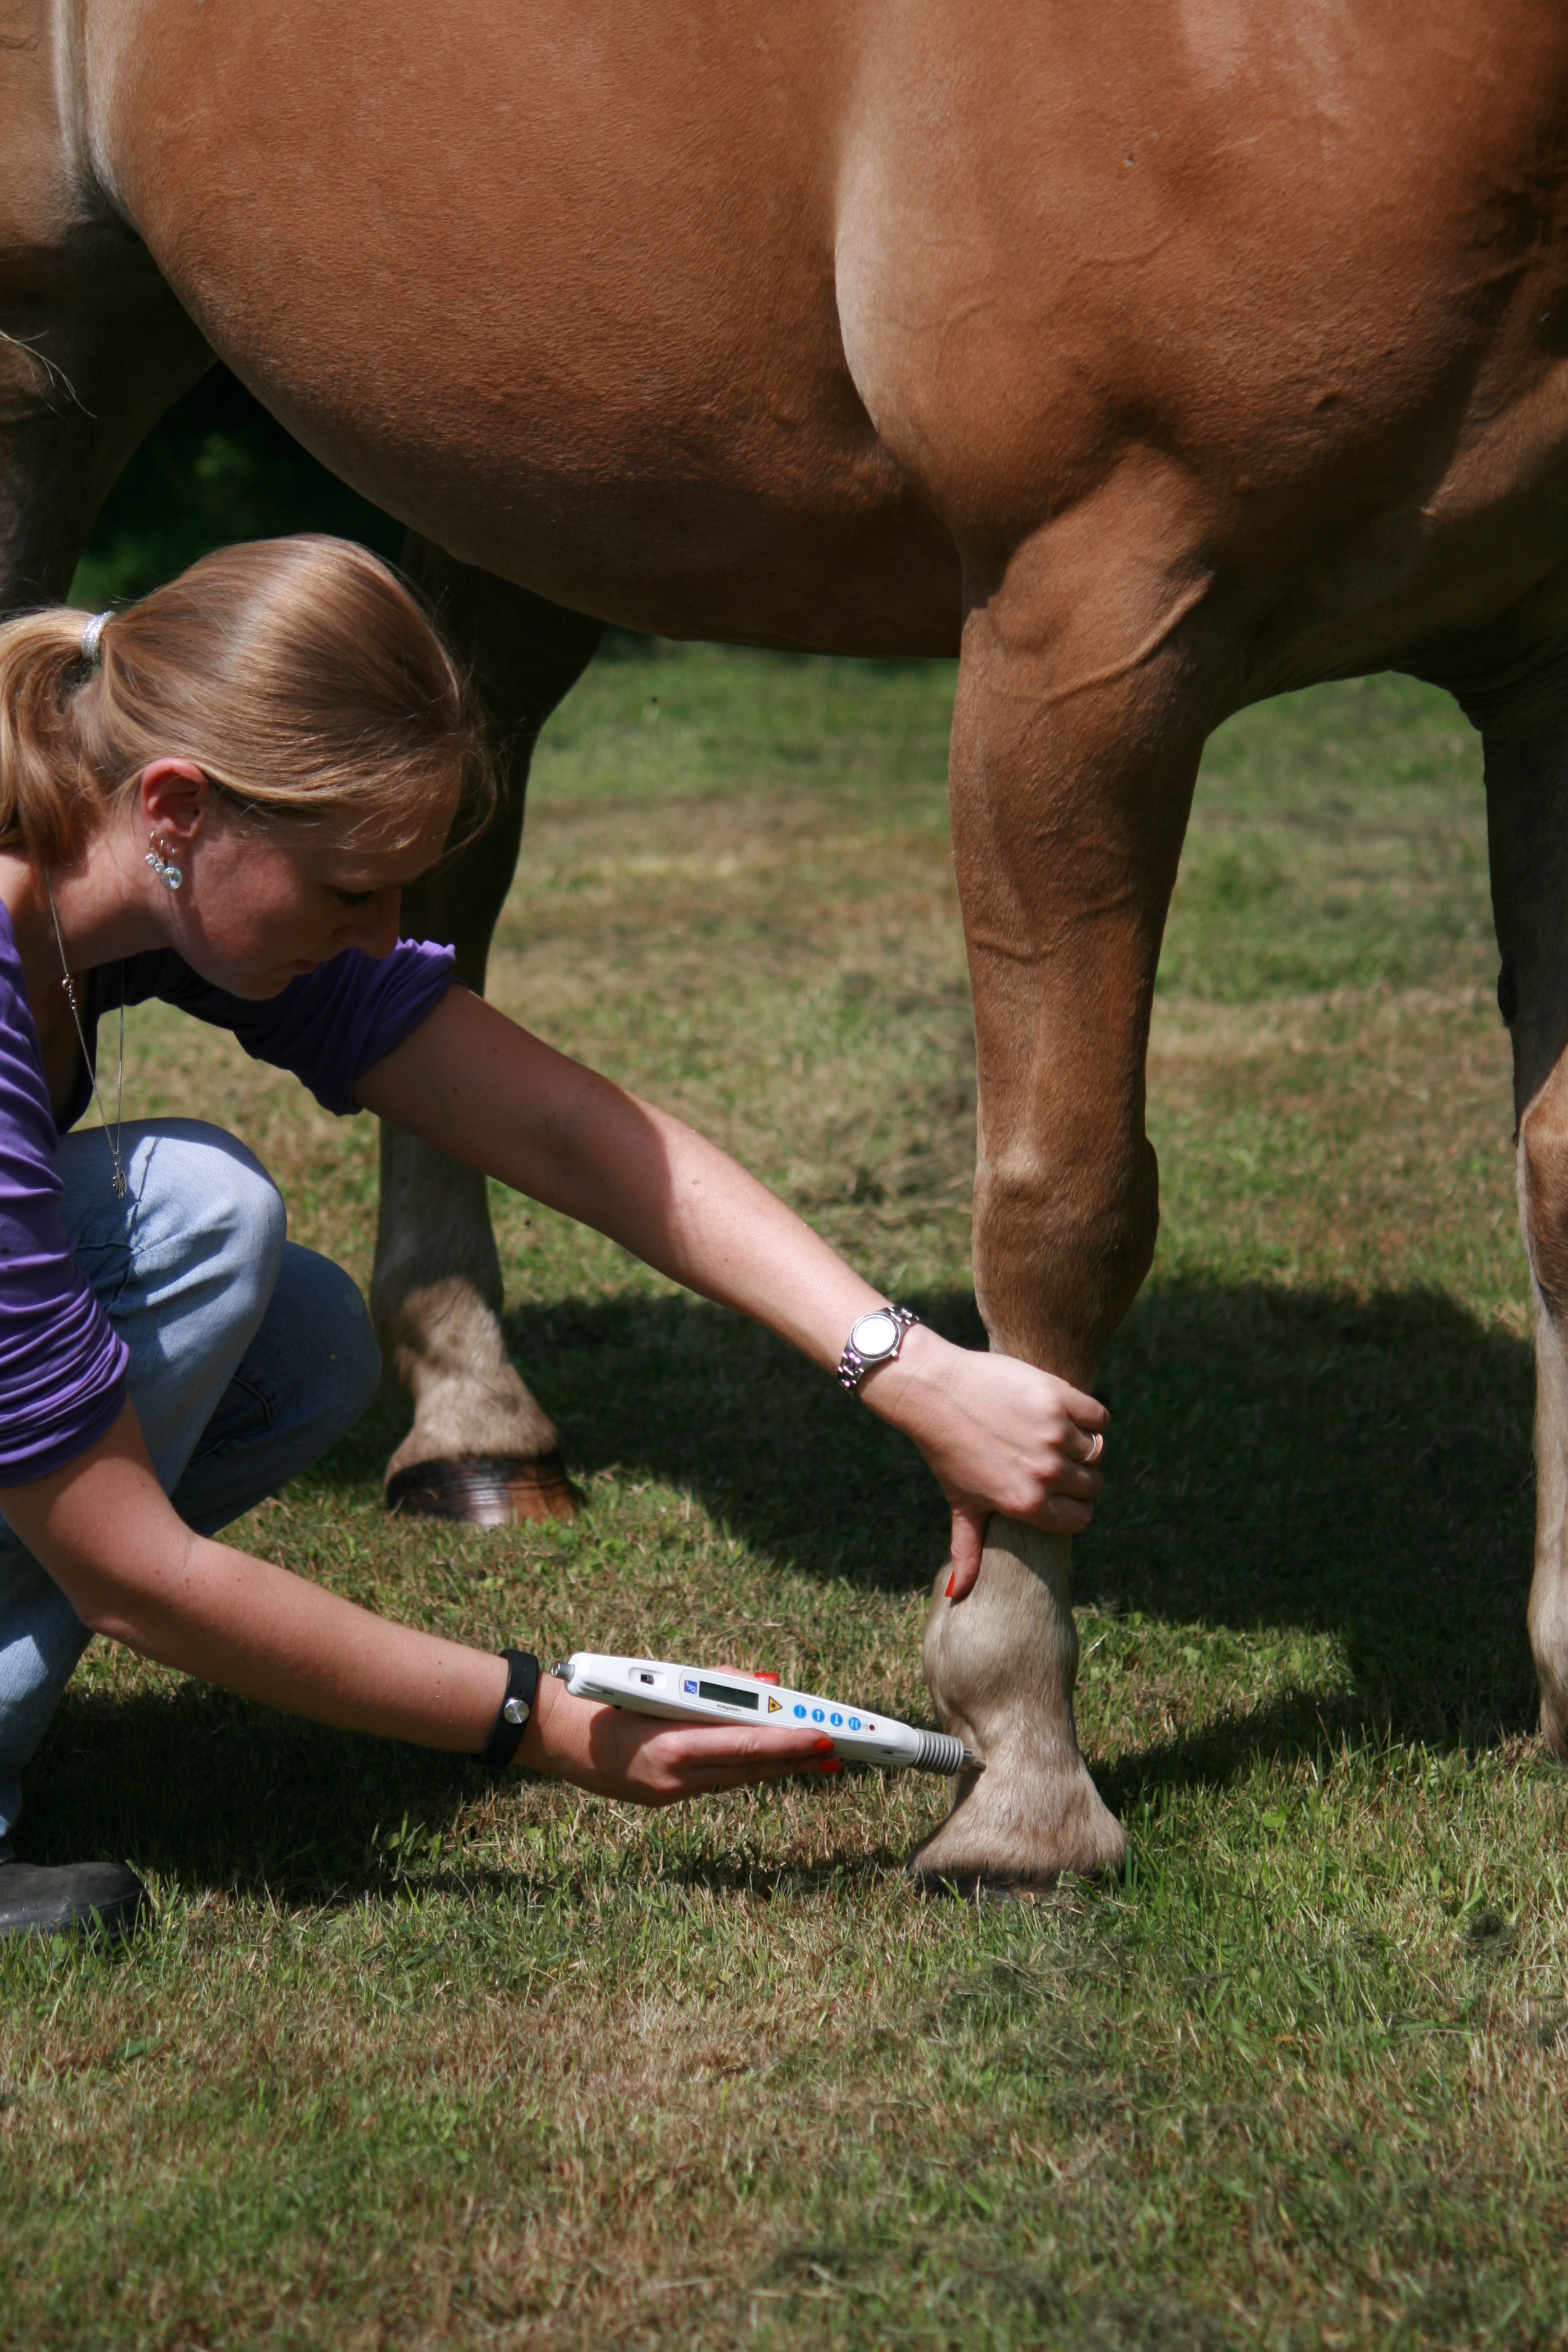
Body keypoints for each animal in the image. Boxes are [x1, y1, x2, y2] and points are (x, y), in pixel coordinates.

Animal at [3, 0, 1568, 1881]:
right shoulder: (1088, 627)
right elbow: (1066, 1204)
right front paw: (1022, 1770)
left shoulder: (1548, 657)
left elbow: (1557, 1176)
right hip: (51, 341)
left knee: (437, 928)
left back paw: (472, 1425)